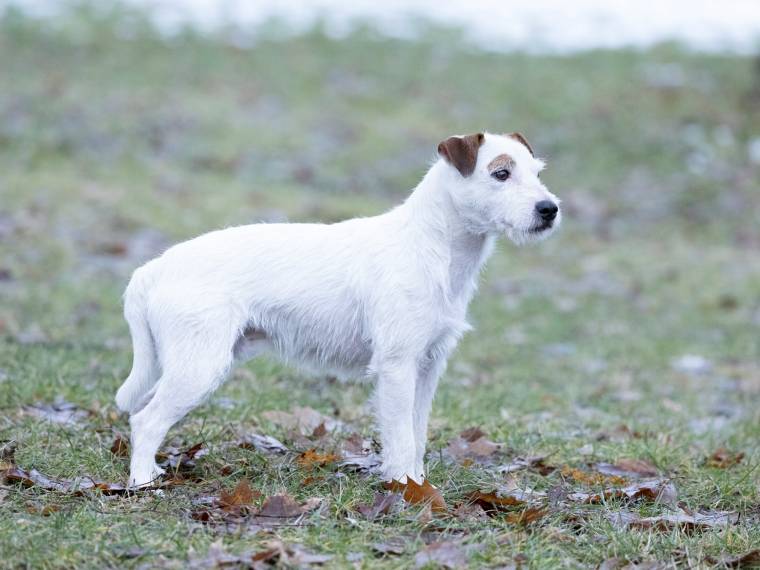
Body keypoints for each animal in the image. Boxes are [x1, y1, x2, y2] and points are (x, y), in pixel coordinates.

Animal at [116, 132, 560, 484]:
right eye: (500, 174)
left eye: (537, 172)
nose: (550, 208)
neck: (432, 245)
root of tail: (151, 270)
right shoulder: (397, 366)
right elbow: (400, 437)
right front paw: (405, 488)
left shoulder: (428, 365)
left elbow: (417, 434)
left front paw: (418, 483)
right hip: (199, 367)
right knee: (146, 420)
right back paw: (142, 483)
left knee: (144, 410)